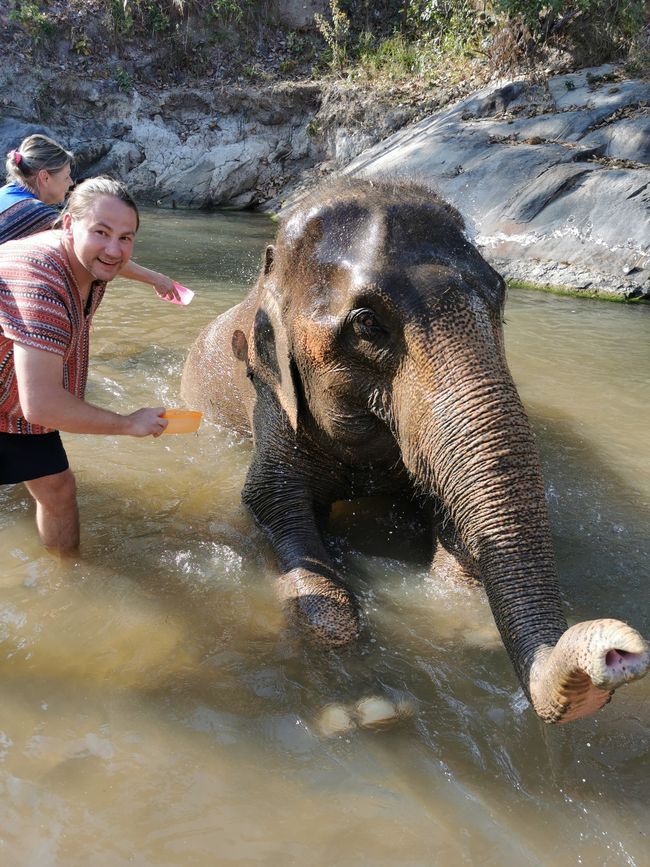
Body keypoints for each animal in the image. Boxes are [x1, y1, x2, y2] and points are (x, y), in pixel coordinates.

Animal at [181, 177, 649, 724]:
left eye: (501, 296)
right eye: (367, 324)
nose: (619, 652)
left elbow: (454, 512)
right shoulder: (270, 400)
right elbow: (272, 505)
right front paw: (364, 702)